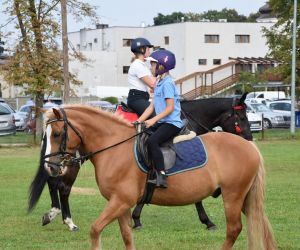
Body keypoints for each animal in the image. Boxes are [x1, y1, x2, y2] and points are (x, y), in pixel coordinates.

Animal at [40, 105, 276, 250]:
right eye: (46, 136)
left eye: (57, 134)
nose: (49, 167)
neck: (115, 147)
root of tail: (248, 146)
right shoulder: (121, 204)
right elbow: (127, 236)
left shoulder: (120, 201)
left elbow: (95, 229)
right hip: (244, 198)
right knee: (260, 225)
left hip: (233, 196)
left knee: (234, 229)